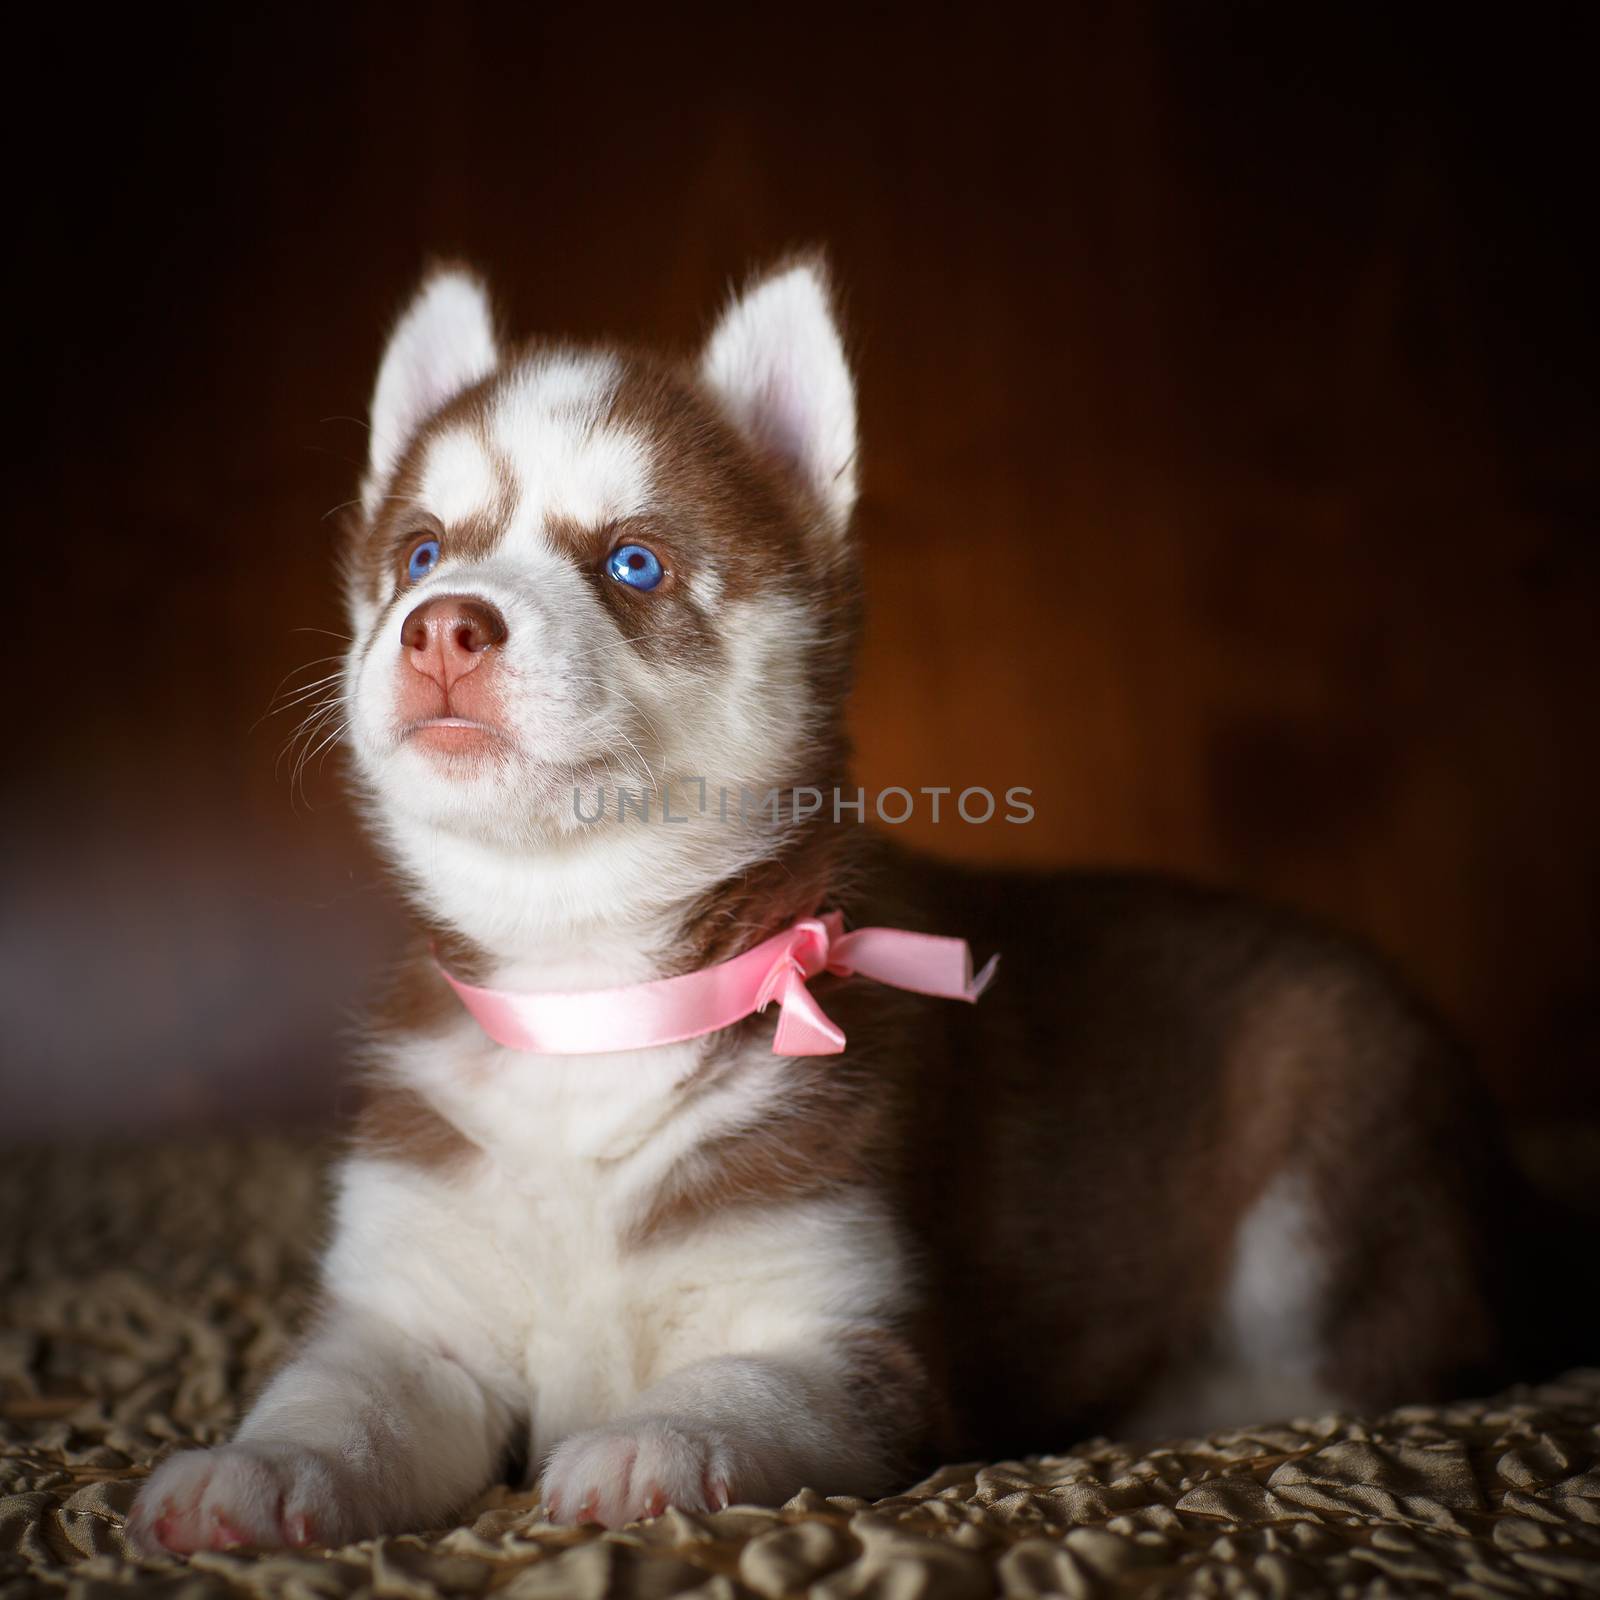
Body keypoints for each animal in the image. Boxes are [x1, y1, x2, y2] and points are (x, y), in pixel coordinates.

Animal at [134, 259, 1536, 1548]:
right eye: (423, 550)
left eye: (633, 562)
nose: (442, 624)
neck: (592, 994)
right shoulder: (413, 1303)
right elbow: (343, 1395)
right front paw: (254, 1467)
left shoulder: (847, 1332)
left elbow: (743, 1390)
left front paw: (649, 1444)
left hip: (1334, 1137)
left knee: (1354, 1364)